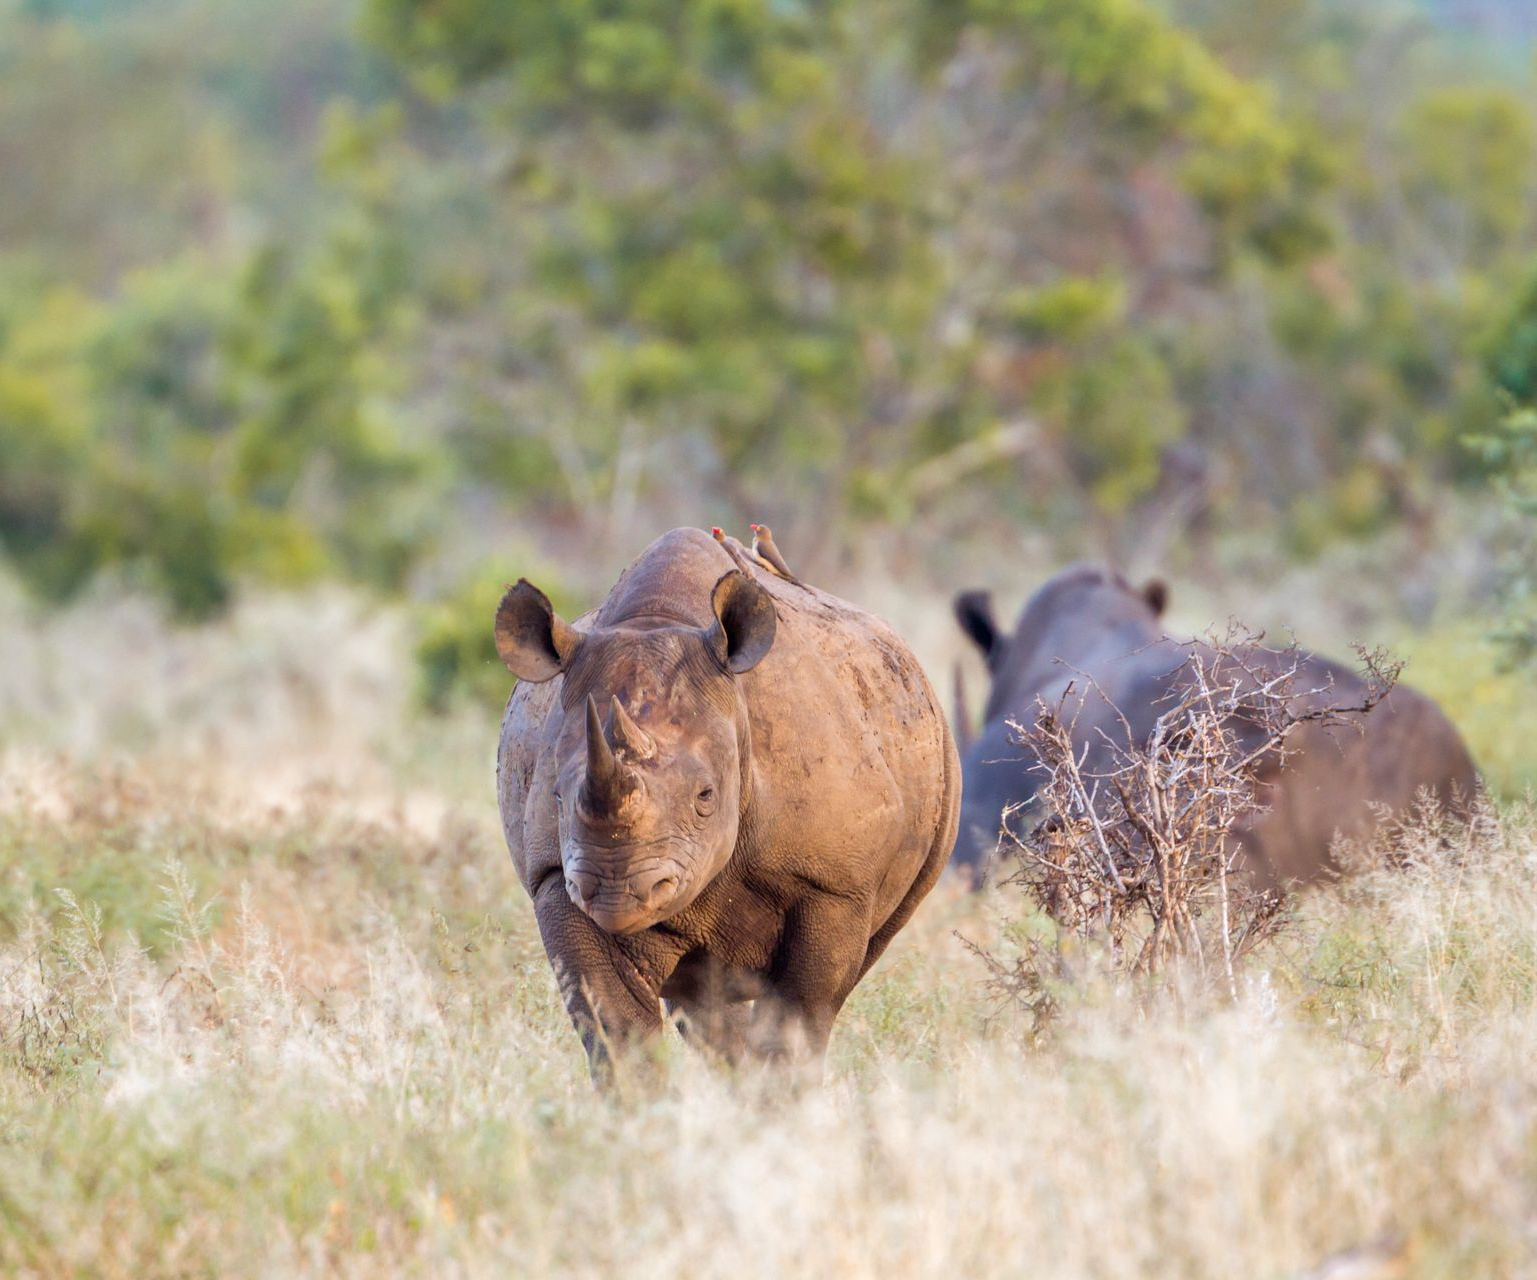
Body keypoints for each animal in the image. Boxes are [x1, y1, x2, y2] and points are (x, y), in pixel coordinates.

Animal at [495, 527, 960, 1075]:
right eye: (556, 795)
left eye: (705, 796)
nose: (617, 892)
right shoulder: (554, 876)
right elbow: (616, 1028)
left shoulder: (836, 883)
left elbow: (799, 1015)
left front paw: (776, 1094)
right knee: (705, 1004)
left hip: (934, 752)